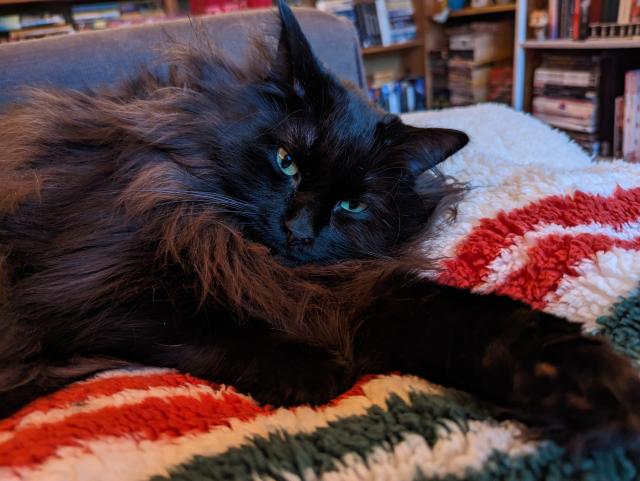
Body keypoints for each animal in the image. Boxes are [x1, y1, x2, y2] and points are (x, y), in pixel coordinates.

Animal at [1, 0, 640, 452]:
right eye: (287, 162)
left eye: (352, 206)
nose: (300, 229)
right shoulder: (90, 289)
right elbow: (206, 327)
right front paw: (311, 371)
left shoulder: (348, 293)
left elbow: (485, 322)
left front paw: (594, 387)